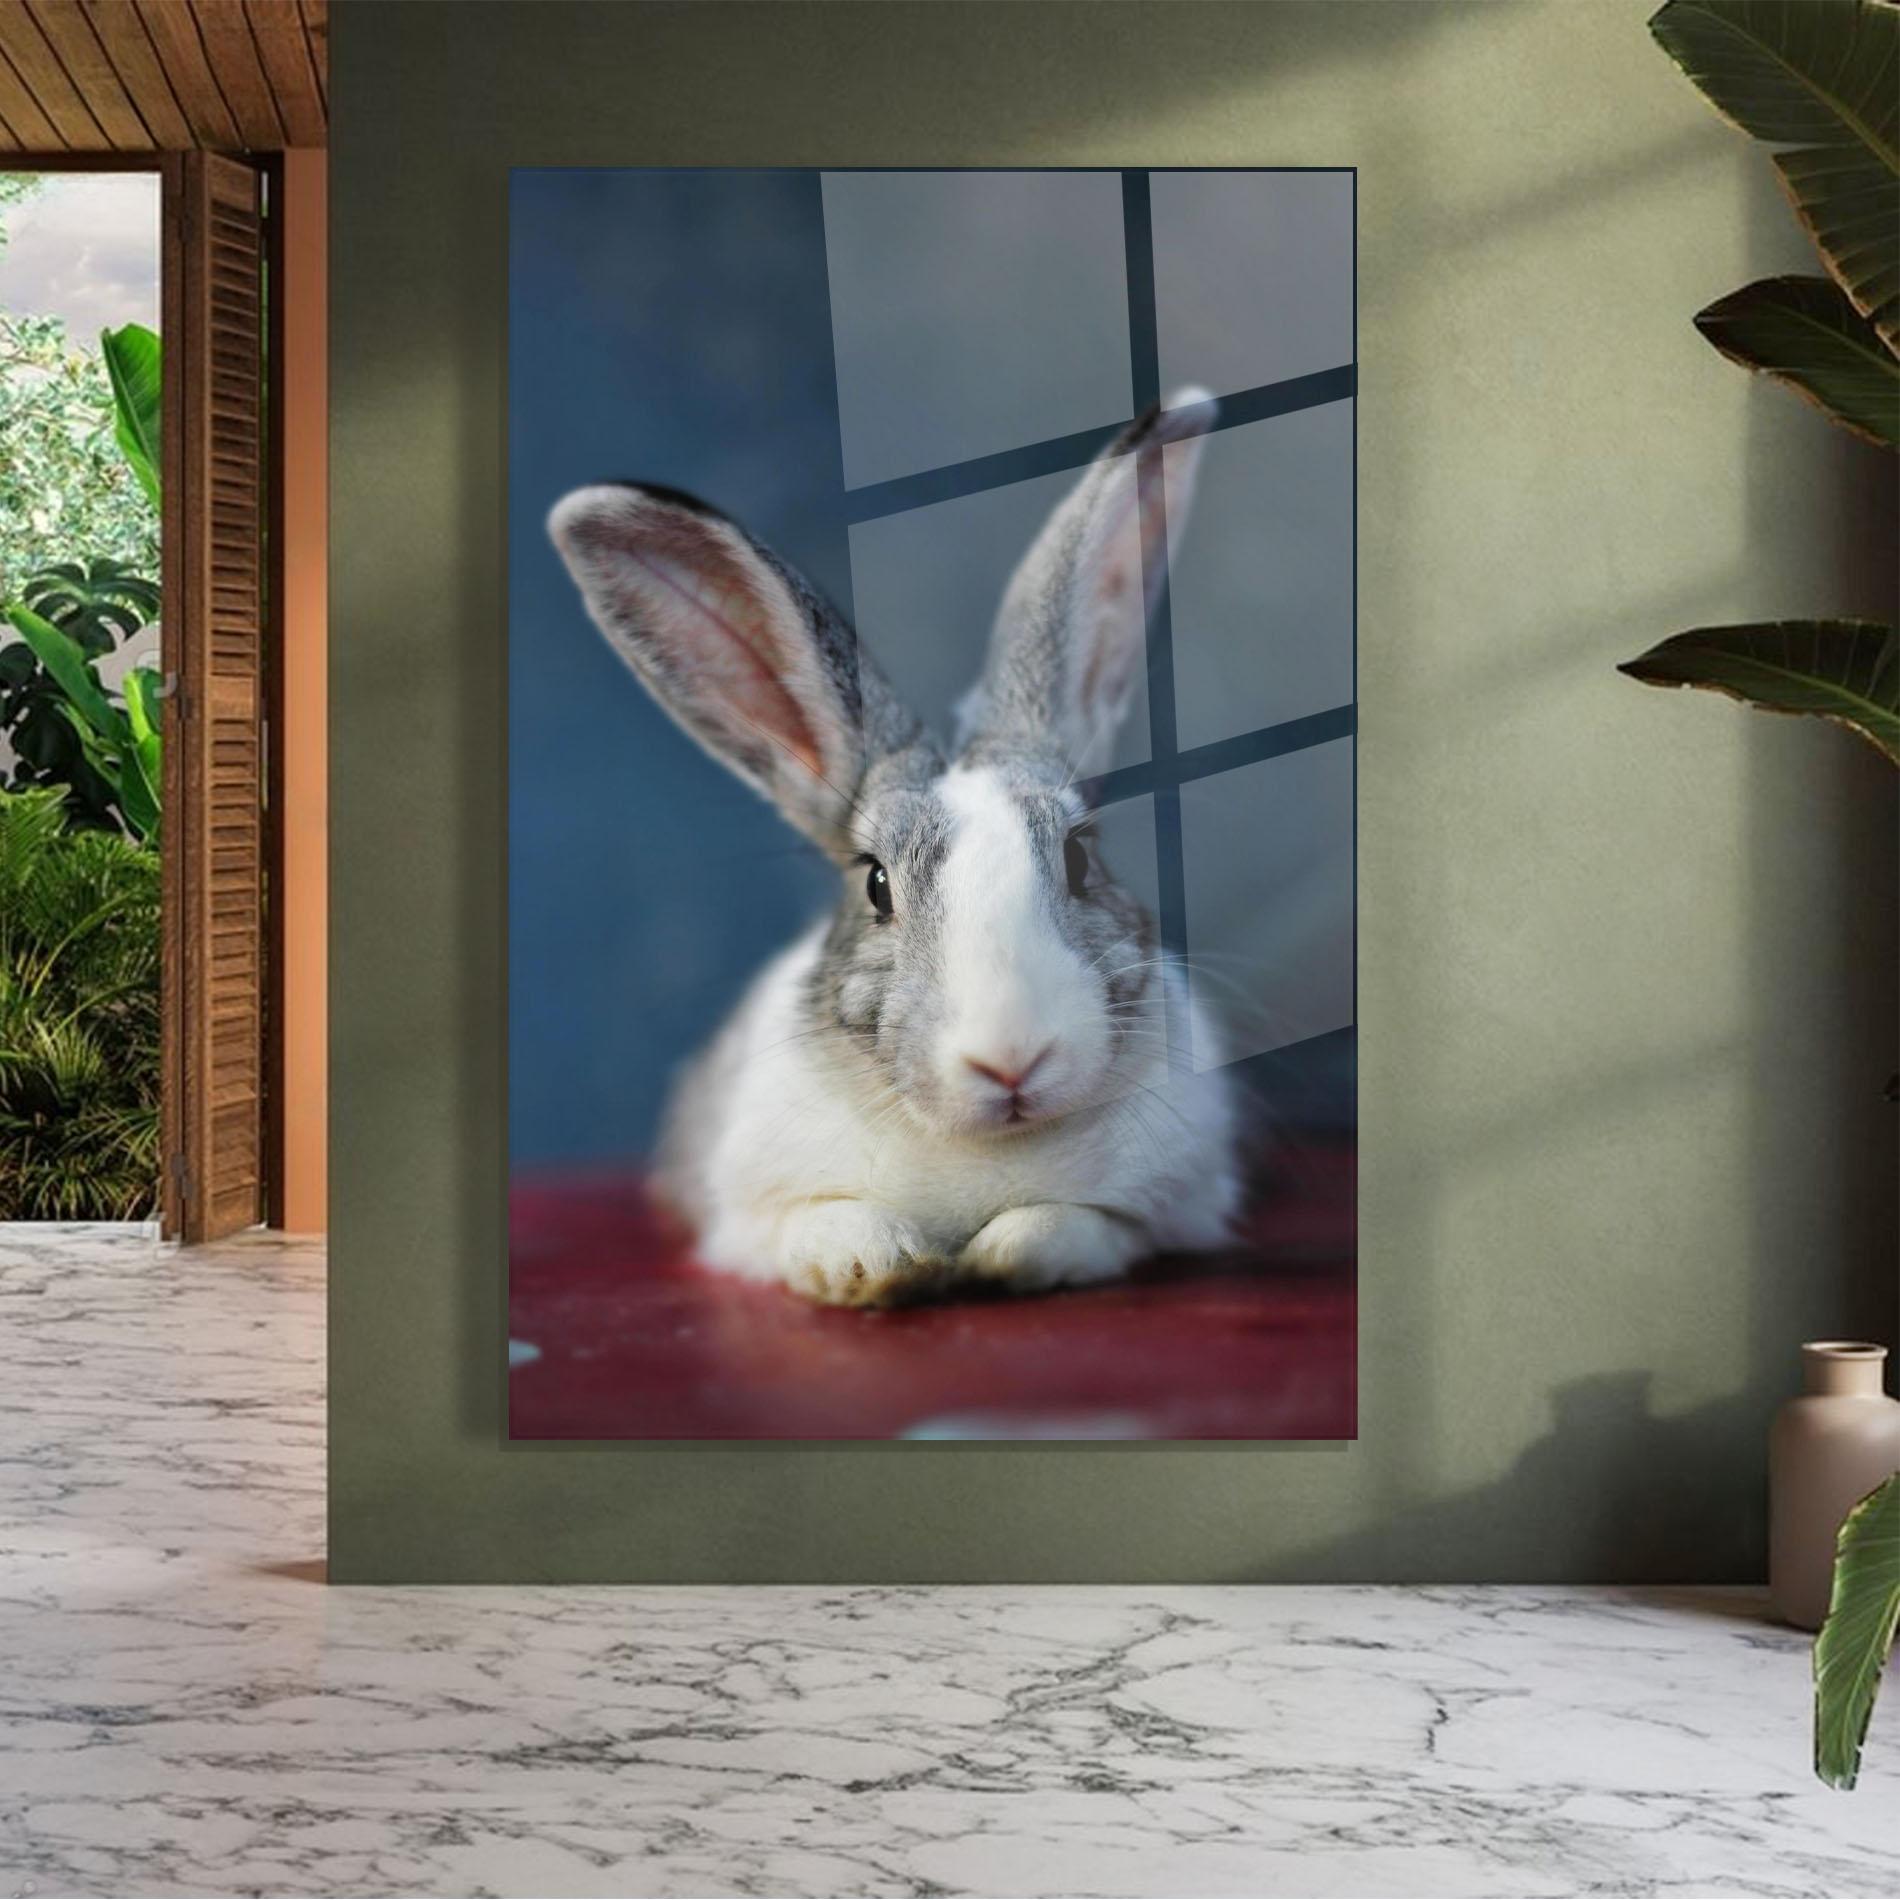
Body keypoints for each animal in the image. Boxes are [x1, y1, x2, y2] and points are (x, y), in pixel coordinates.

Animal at [547, 387, 1242, 1307]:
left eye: (1080, 858)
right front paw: (881, 1267)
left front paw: (1001, 1253)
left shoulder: (1167, 1207)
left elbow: (1074, 1226)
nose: (1011, 1060)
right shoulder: (749, 1218)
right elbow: (824, 1226)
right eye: (876, 885)